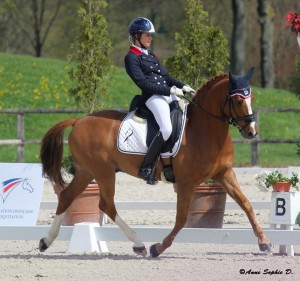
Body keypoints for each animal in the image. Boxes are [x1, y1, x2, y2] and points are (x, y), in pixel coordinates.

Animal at [39, 68, 272, 256]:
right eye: (239, 101)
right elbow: (181, 218)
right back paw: (139, 244)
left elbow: (246, 204)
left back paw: (46, 241)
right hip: (103, 172)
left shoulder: (224, 174)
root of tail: (79, 120)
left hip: (86, 172)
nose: (251, 132)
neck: (204, 130)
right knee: (106, 205)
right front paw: (158, 248)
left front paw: (265, 243)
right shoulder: (187, 182)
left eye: (251, 98)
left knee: (66, 197)